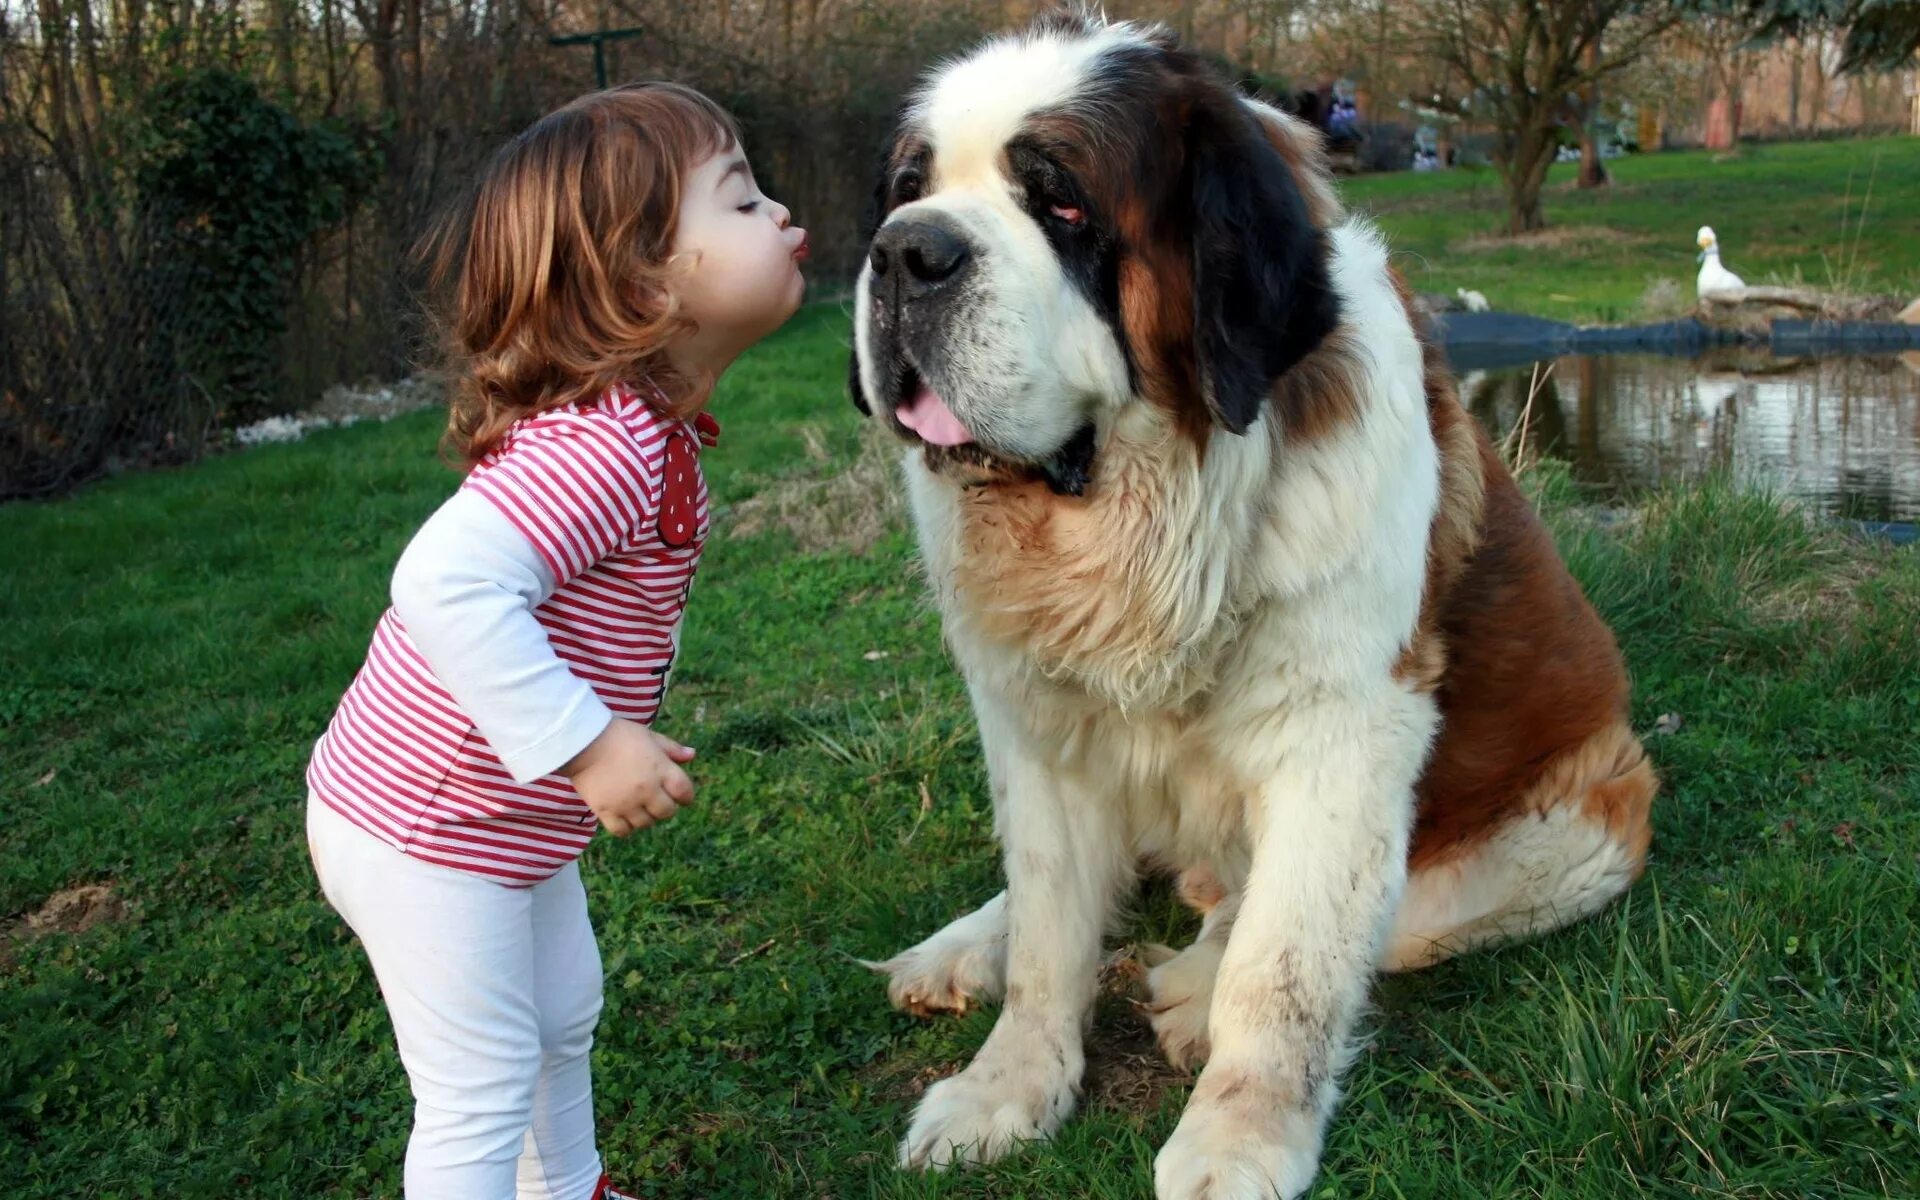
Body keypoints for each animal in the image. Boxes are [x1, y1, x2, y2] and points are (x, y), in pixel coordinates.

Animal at [848, 11, 1658, 1198]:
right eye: (909, 189)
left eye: (1063, 202)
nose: (905, 251)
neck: (1148, 521)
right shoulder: (1036, 730)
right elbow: (1049, 929)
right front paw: (1007, 1087)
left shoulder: (1348, 740)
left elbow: (1286, 967)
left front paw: (1236, 1140)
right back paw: (962, 949)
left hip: (1585, 827)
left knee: (1345, 920)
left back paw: (1192, 983)